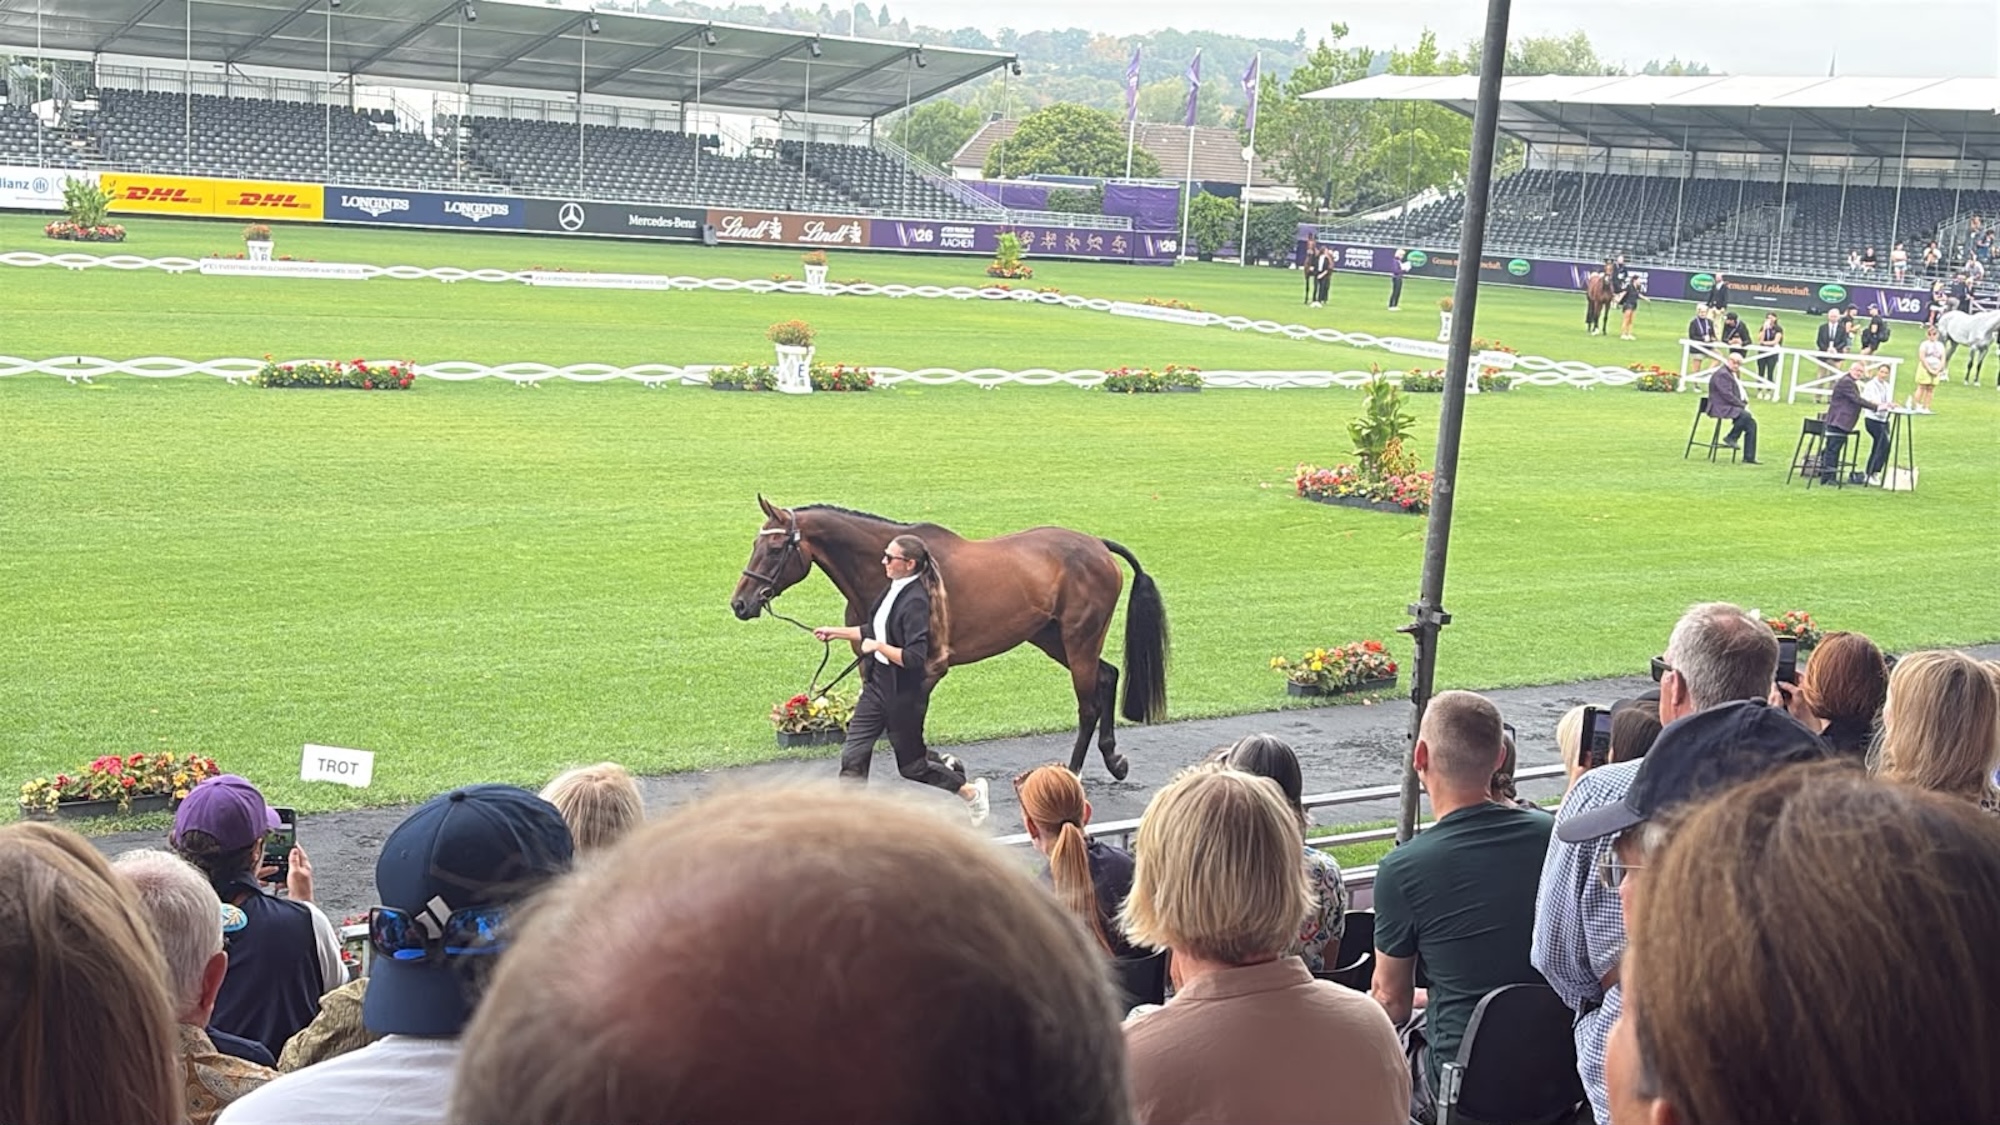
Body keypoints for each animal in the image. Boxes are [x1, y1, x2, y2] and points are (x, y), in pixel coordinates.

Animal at [729, 497, 1169, 780]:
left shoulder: (927, 668)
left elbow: (911, 726)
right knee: (1107, 675)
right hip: (1050, 637)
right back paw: (1113, 759)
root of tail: (1097, 544)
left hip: (1079, 639)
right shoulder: (873, 666)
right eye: (754, 543)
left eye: (774, 548)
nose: (740, 603)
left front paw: (940, 764)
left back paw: (1072, 773)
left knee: (1088, 704)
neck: (892, 577)